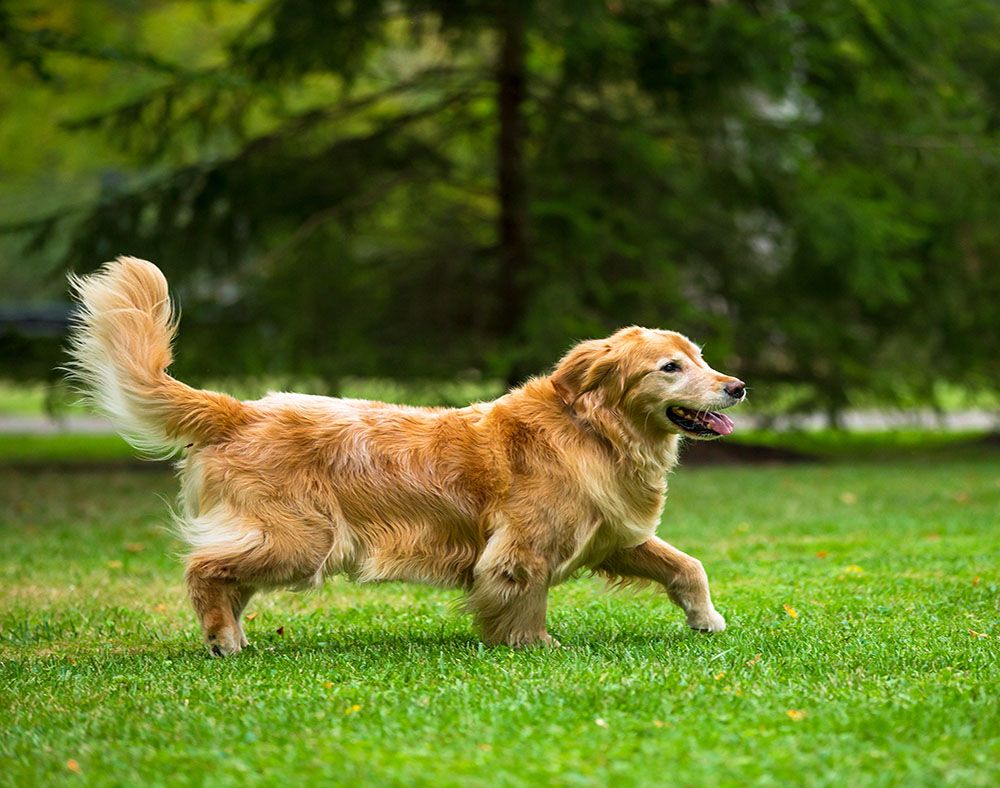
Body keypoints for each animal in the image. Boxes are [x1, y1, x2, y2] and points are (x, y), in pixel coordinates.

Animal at [66, 258, 744, 652]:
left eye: (702, 357)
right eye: (670, 367)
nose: (738, 386)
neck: (595, 429)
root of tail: (240, 409)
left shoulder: (612, 535)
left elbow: (687, 566)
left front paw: (707, 620)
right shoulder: (520, 550)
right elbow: (523, 600)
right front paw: (533, 647)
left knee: (226, 577)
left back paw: (230, 634)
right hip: (302, 539)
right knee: (203, 569)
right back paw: (222, 638)